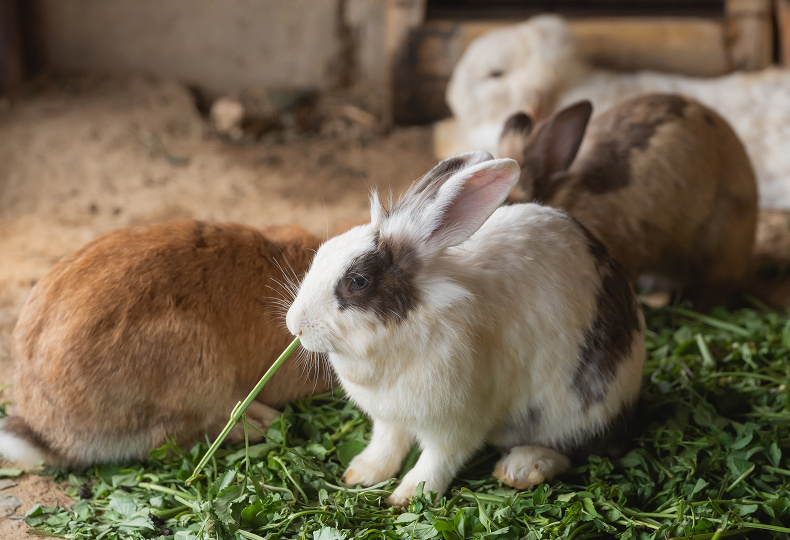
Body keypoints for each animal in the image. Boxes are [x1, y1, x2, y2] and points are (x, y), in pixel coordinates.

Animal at [288, 150, 648, 504]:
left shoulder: (456, 423)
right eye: (322, 251)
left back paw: (520, 468)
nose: (295, 326)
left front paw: (408, 496)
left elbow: (438, 460)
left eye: (358, 282)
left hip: (576, 410)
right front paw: (362, 473)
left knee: (581, 448)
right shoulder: (388, 418)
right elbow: (386, 443)